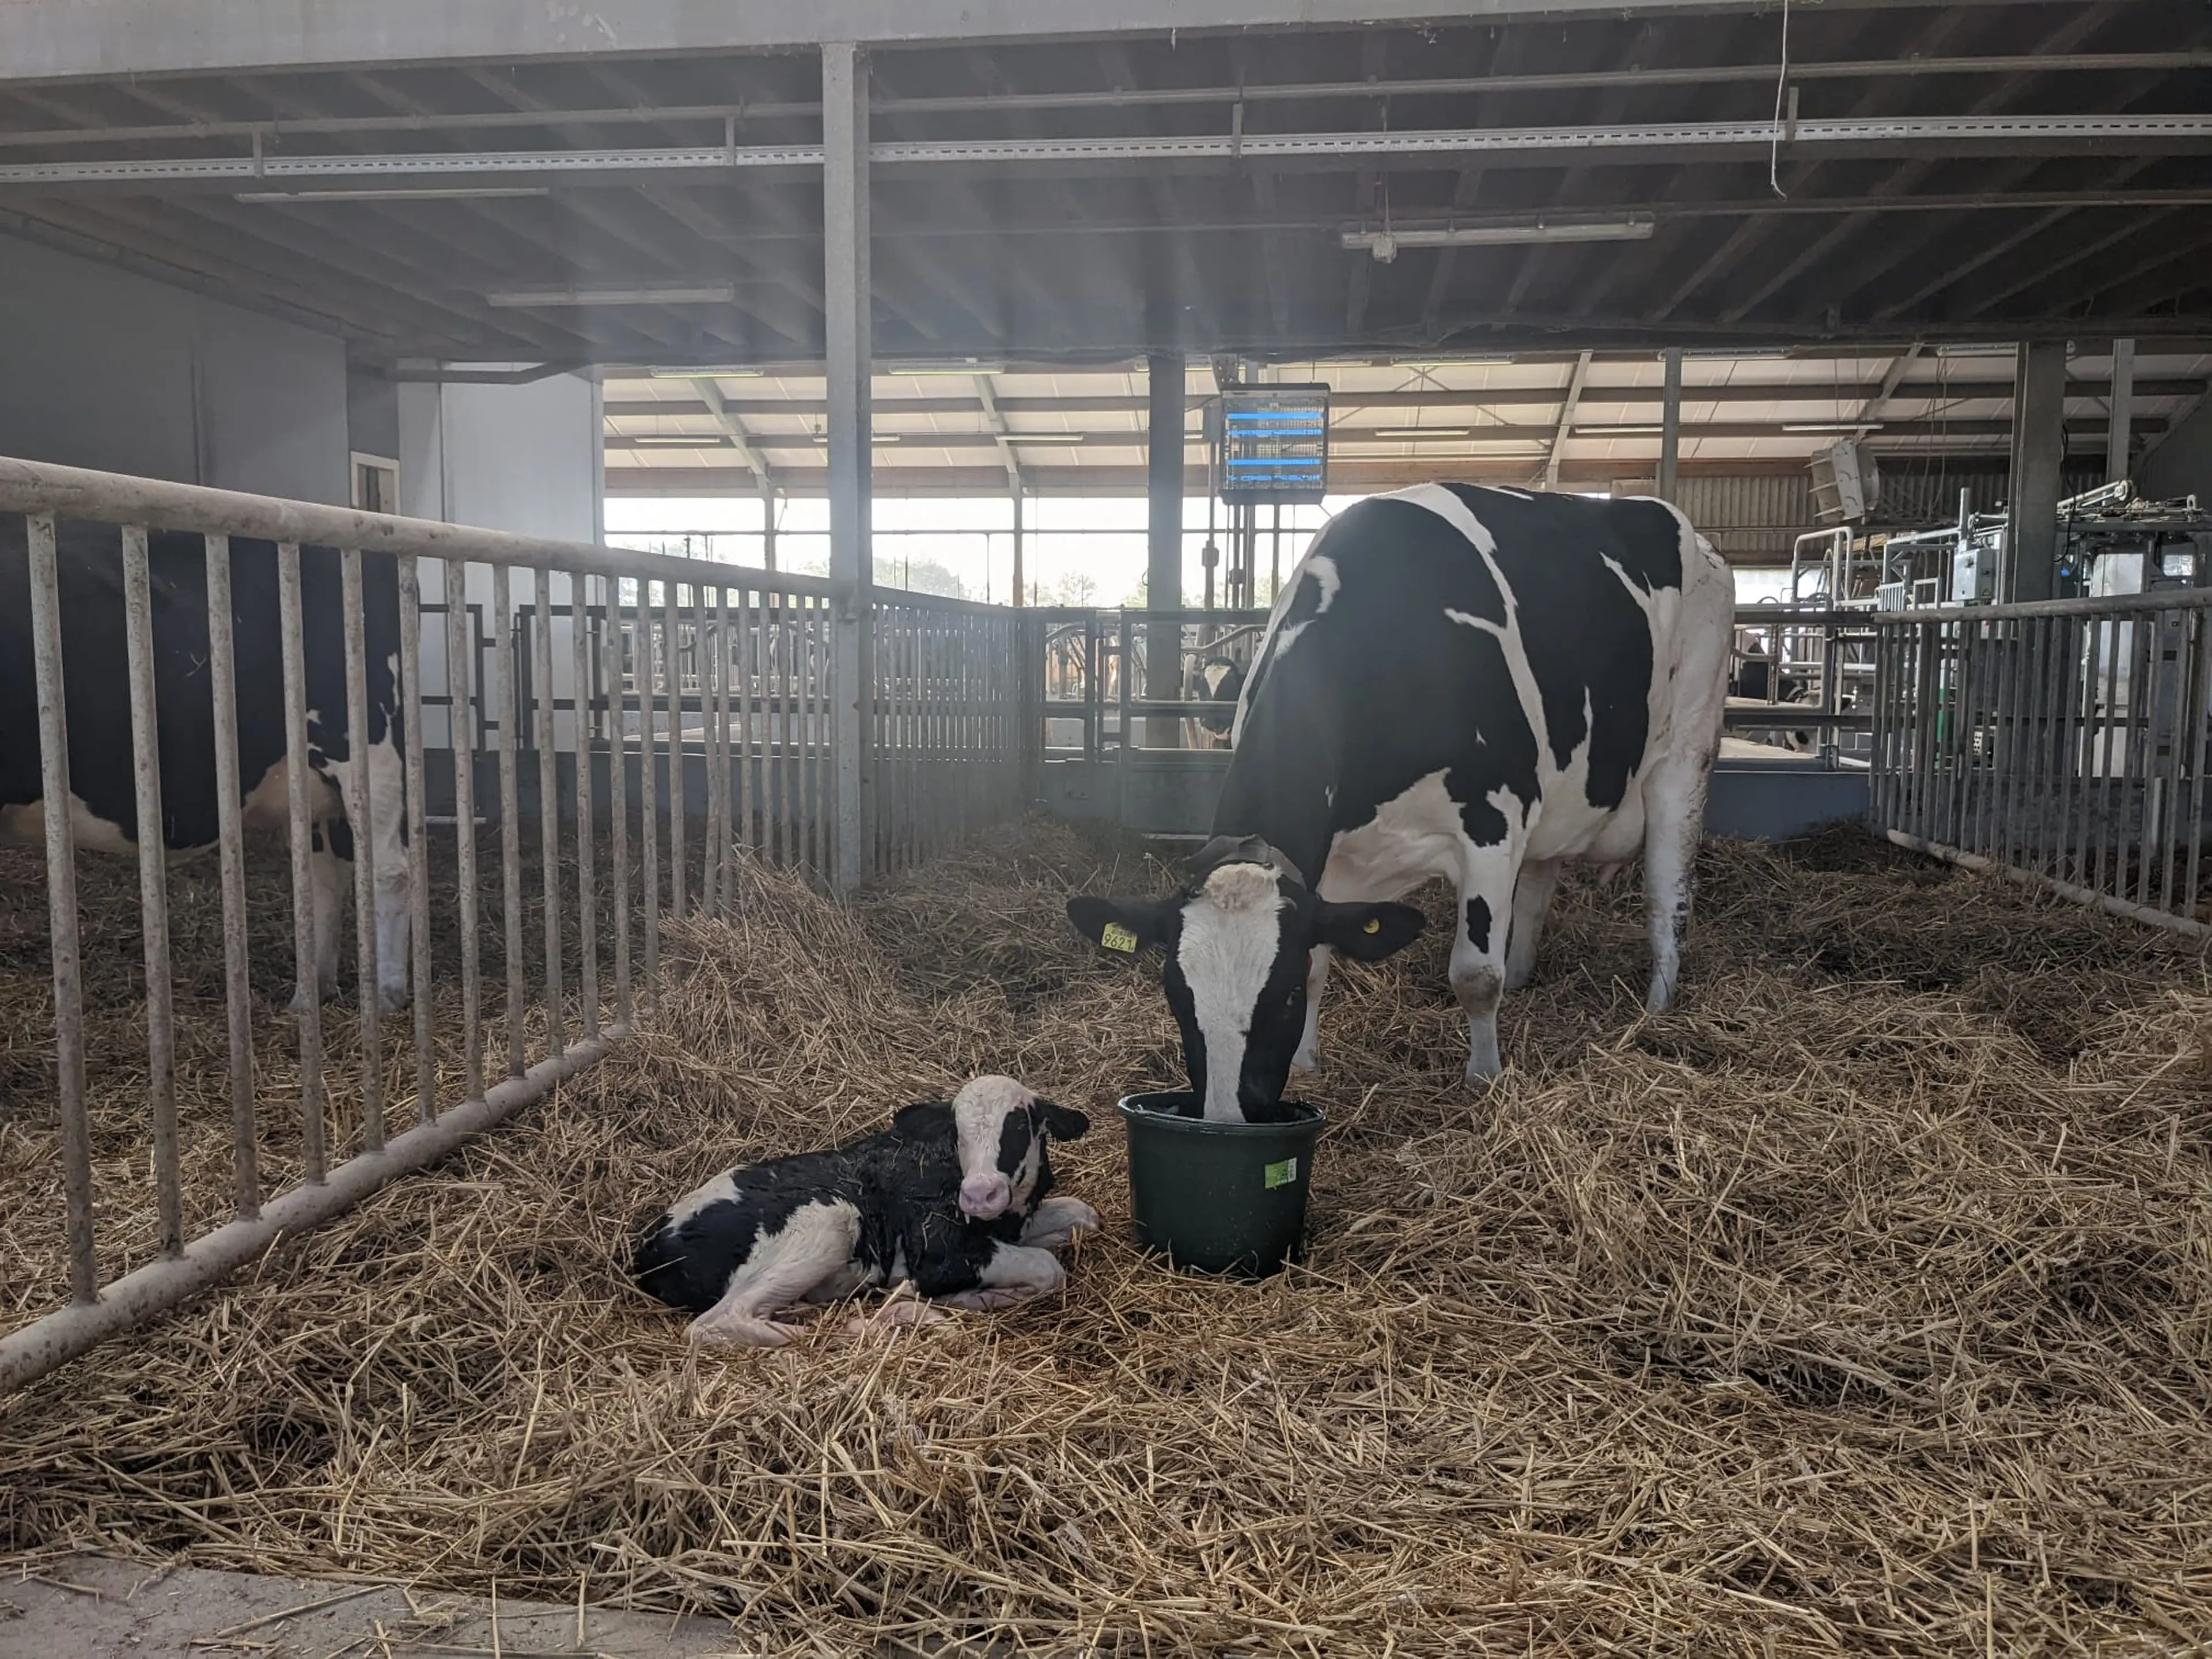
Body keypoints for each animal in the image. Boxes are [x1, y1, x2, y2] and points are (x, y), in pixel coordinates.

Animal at [0, 518, 412, 1012]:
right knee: (326, 871)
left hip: (368, 748)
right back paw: (309, 996)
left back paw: (387, 997)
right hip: (313, 782)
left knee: (389, 867)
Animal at [633, 1075, 1098, 1347]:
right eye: (957, 1131)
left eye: (1020, 1125)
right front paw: (981, 1296)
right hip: (829, 1219)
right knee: (717, 1322)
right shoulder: (940, 1254)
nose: (980, 1194)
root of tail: (651, 1248)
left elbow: (1084, 1215)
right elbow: (1048, 1267)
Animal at [1068, 484, 1733, 1119]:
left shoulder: (1494, 819)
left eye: (1279, 996)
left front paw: (1484, 1077)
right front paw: (1307, 1062)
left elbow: (1475, 975)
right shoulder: (1325, 862)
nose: (1230, 1115)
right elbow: (1322, 959)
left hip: (1687, 750)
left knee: (1668, 898)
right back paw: (1527, 978)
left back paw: (1656, 1010)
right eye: (1177, 995)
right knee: (1542, 882)